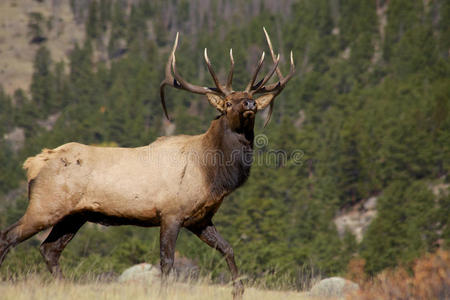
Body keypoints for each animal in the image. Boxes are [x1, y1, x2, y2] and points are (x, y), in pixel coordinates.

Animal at [0, 27, 294, 298]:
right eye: (228, 103)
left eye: (250, 98)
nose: (250, 104)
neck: (213, 174)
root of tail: (33, 162)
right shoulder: (171, 213)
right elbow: (167, 261)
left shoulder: (200, 218)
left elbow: (228, 248)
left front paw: (238, 290)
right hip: (45, 204)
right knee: (8, 237)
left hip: (74, 214)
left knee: (49, 249)